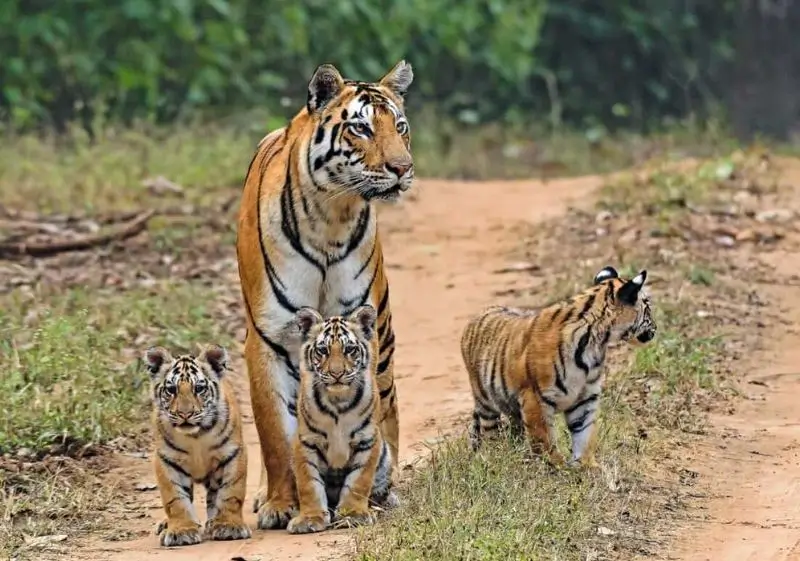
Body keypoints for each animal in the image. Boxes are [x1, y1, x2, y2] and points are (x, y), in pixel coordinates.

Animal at [144, 344, 250, 547]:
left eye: (199, 388)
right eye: (171, 389)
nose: (185, 413)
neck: (196, 436)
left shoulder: (233, 454)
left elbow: (230, 493)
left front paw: (228, 526)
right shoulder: (167, 459)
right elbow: (175, 499)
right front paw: (181, 530)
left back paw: (212, 522)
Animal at [286, 305, 397, 535]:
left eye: (350, 349)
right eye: (322, 350)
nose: (337, 373)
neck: (337, 401)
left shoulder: (367, 440)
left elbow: (358, 481)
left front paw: (353, 515)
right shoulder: (305, 442)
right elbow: (308, 483)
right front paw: (309, 518)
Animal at [460, 265, 657, 468]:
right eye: (648, 307)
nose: (655, 329)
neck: (596, 341)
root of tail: (480, 313)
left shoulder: (586, 397)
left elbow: (585, 433)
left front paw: (586, 465)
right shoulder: (535, 397)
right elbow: (543, 438)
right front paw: (556, 465)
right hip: (486, 403)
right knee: (490, 433)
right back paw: (495, 457)